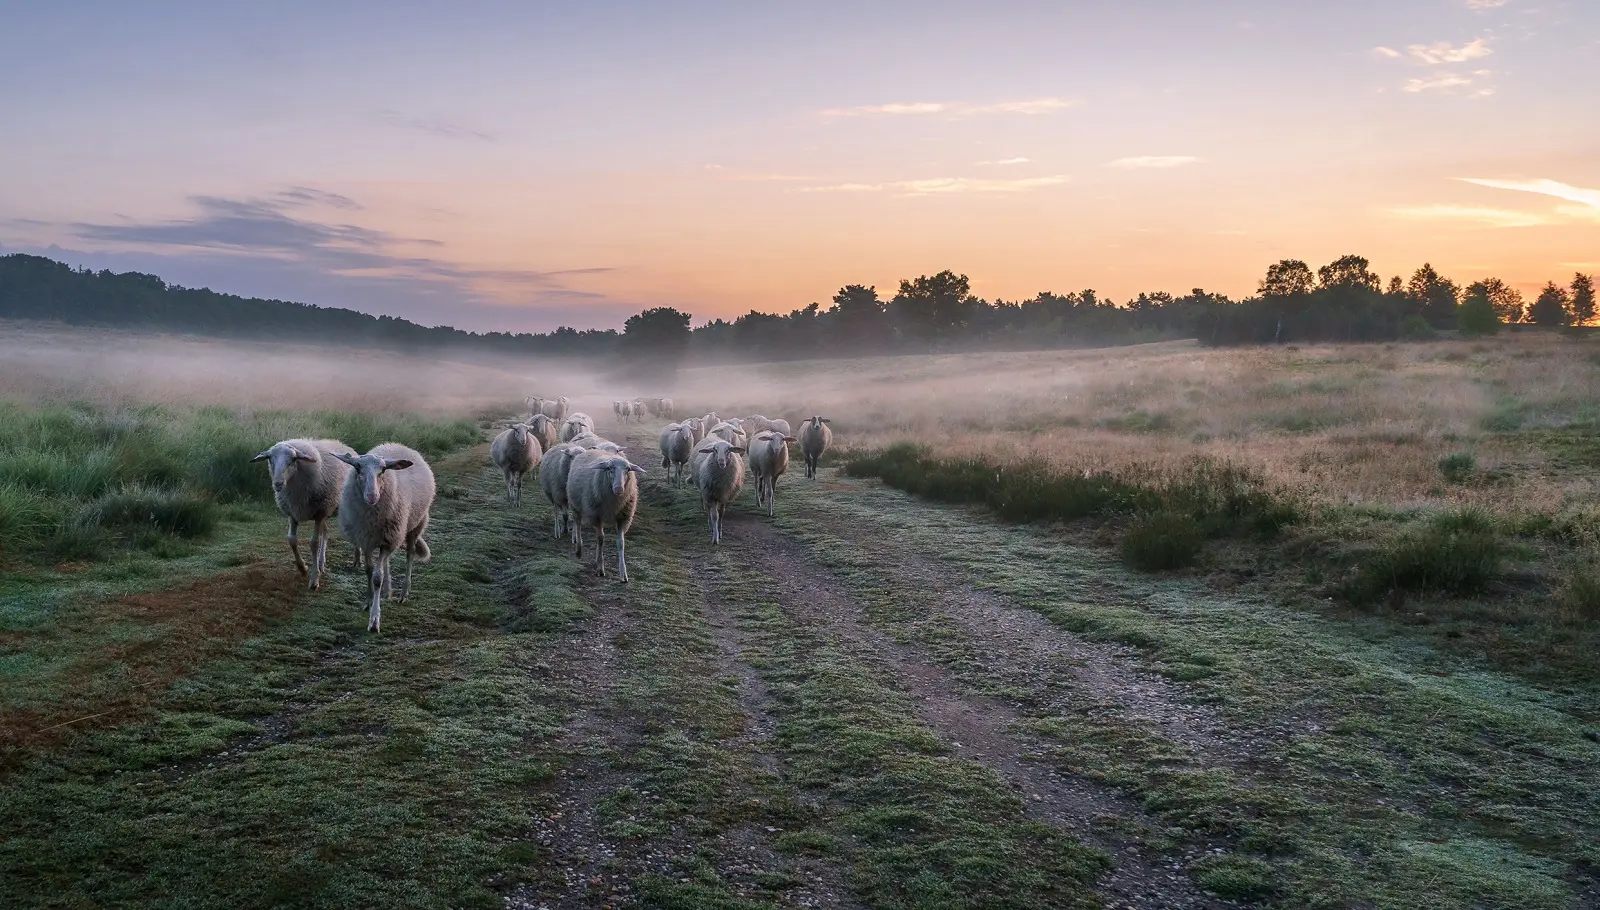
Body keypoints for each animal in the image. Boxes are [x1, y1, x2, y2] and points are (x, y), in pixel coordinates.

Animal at [249, 438, 356, 591]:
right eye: (270, 458)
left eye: (293, 459)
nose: (278, 484)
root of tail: (345, 445)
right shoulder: (293, 513)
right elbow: (292, 540)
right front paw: (303, 568)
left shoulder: (319, 513)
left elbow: (314, 543)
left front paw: (314, 579)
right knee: (326, 532)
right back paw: (321, 562)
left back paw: (357, 559)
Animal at [332, 441, 435, 630]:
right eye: (358, 468)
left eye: (383, 470)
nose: (372, 496)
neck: (371, 516)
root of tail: (397, 444)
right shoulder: (365, 539)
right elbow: (368, 571)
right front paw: (368, 601)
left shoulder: (387, 541)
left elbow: (377, 577)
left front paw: (374, 619)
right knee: (387, 560)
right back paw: (388, 591)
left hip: (415, 526)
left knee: (409, 555)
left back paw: (403, 593)